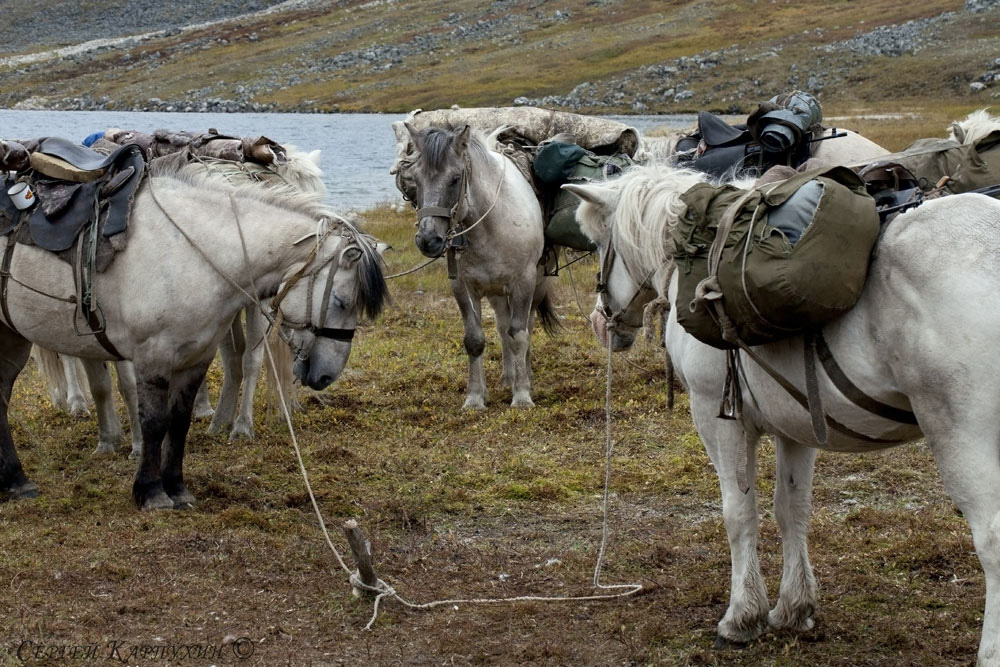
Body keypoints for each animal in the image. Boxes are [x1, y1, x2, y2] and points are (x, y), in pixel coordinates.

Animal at [396, 122, 556, 410]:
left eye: (455, 178)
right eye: (415, 179)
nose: (428, 240)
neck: (490, 225)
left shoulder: (523, 283)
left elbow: (520, 335)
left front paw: (522, 395)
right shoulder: (463, 288)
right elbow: (475, 340)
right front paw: (474, 398)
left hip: (536, 285)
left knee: (525, 325)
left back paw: (524, 377)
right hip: (494, 291)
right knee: (503, 326)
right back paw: (508, 378)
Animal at [568, 164, 1000, 664]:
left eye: (599, 244)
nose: (600, 324)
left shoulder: (718, 419)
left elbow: (740, 513)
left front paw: (742, 616)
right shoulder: (797, 427)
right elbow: (791, 510)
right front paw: (794, 608)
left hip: (961, 438)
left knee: (992, 539)